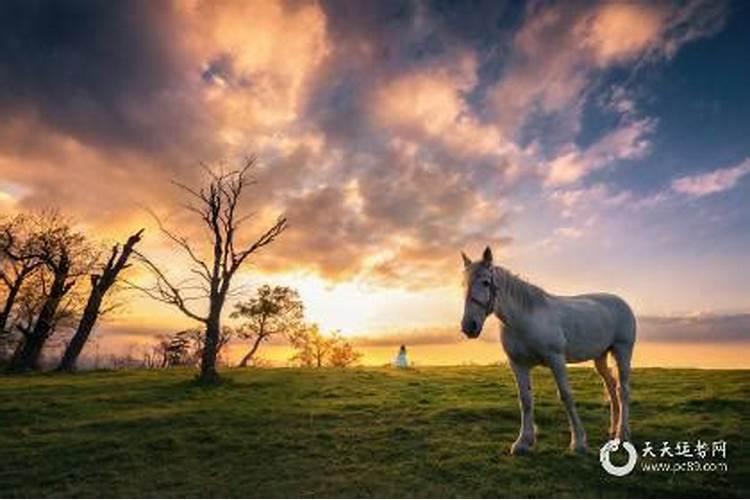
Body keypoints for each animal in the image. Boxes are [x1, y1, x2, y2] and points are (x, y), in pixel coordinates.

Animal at [462, 246, 636, 454]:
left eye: (486, 282)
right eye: (464, 284)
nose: (469, 326)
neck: (525, 319)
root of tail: (621, 302)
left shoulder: (556, 359)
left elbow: (566, 396)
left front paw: (578, 442)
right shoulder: (518, 364)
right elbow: (525, 400)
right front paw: (523, 442)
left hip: (622, 351)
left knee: (622, 390)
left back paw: (622, 434)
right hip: (600, 357)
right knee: (610, 386)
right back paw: (613, 429)